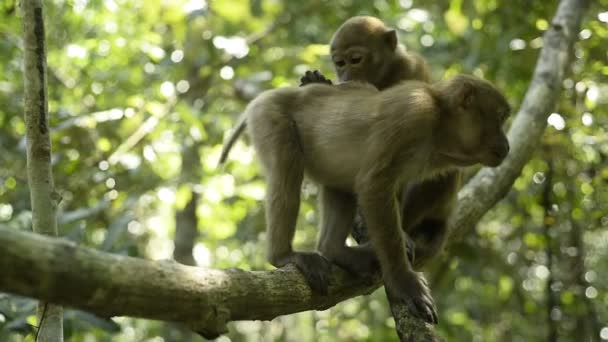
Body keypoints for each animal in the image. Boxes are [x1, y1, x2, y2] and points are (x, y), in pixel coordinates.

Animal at [235, 74, 510, 324]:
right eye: (500, 117)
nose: (507, 145)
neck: (439, 128)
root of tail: (272, 94)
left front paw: (405, 239)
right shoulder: (414, 114)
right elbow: (373, 186)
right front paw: (403, 280)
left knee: (341, 187)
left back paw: (335, 250)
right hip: (269, 116)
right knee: (288, 172)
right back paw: (283, 255)